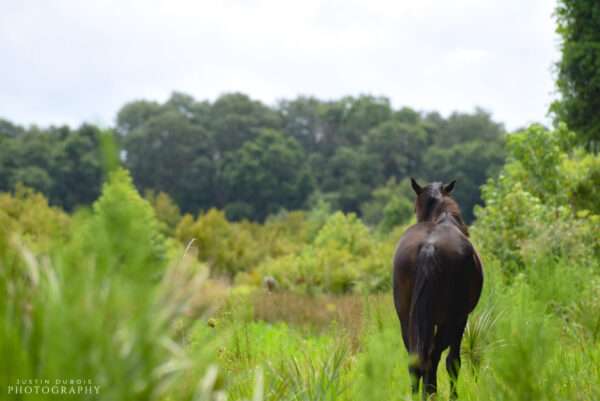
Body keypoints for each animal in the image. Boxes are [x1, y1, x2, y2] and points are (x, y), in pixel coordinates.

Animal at [394, 180, 482, 398]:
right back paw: (431, 393)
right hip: (451, 318)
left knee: (417, 360)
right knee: (435, 357)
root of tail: (429, 247)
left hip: (406, 318)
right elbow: (453, 361)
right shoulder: (461, 319)